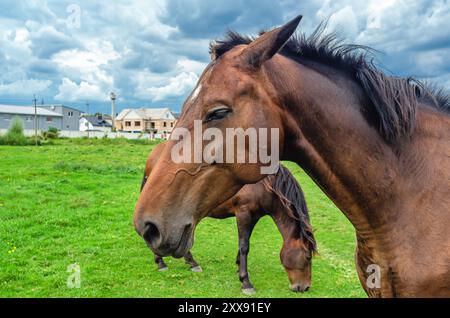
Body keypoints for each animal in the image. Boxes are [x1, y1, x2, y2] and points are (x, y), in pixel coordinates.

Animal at [142, 143, 316, 294]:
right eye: (308, 256)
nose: (304, 287)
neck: (263, 185)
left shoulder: (253, 217)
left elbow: (244, 244)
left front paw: (239, 268)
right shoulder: (243, 213)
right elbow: (244, 246)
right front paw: (246, 282)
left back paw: (191, 263)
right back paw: (161, 262)